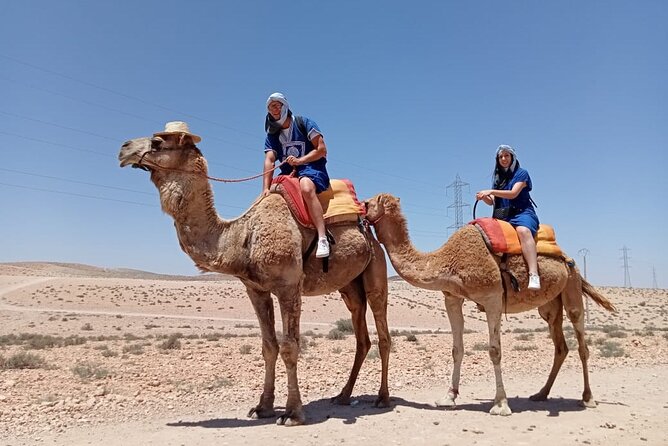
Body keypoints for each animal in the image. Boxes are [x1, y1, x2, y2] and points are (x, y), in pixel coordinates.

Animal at [118, 136, 391, 426]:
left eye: (158, 142)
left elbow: (289, 347)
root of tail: (366, 223)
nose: (124, 149)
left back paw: (382, 398)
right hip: (349, 286)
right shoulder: (256, 290)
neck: (243, 237)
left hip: (376, 269)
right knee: (361, 336)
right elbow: (269, 346)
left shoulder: (289, 286)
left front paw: (293, 413)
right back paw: (343, 395)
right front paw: (263, 407)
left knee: (382, 330)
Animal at [364, 193, 616, 415]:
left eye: (367, 203)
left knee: (581, 340)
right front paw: (449, 396)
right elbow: (457, 349)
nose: (361, 210)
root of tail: (568, 257)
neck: (447, 261)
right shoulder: (452, 297)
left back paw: (588, 398)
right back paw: (541, 394)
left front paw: (501, 404)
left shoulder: (492, 297)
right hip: (550, 305)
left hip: (572, 286)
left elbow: (495, 350)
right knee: (560, 345)